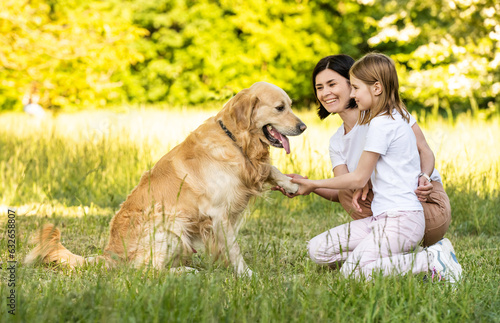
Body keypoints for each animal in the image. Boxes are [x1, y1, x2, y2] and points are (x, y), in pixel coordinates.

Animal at [25, 81, 306, 276]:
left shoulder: (249, 173)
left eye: (291, 105)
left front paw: (291, 183)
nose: (303, 126)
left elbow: (269, 169)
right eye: (280, 108)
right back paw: (184, 272)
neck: (234, 140)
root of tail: (110, 254)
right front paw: (247, 274)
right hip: (172, 225)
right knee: (145, 272)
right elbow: (234, 249)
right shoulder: (218, 214)